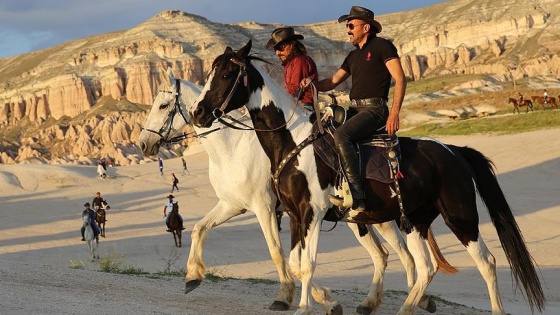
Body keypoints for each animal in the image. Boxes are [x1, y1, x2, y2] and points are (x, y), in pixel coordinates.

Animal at [138, 69, 440, 314]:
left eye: (163, 105)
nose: (143, 143)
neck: (233, 147)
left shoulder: (265, 208)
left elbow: (277, 252)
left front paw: (288, 295)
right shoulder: (232, 205)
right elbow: (199, 229)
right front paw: (192, 276)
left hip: (379, 217)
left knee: (404, 255)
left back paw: (417, 298)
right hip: (356, 220)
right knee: (383, 255)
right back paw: (384, 302)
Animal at [190, 40, 544, 314]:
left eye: (226, 74)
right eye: (208, 74)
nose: (197, 112)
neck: (293, 142)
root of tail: (454, 151)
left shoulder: (309, 213)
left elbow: (305, 264)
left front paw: (306, 306)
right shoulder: (293, 215)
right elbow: (293, 262)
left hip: (460, 217)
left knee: (486, 262)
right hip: (413, 219)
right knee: (424, 267)